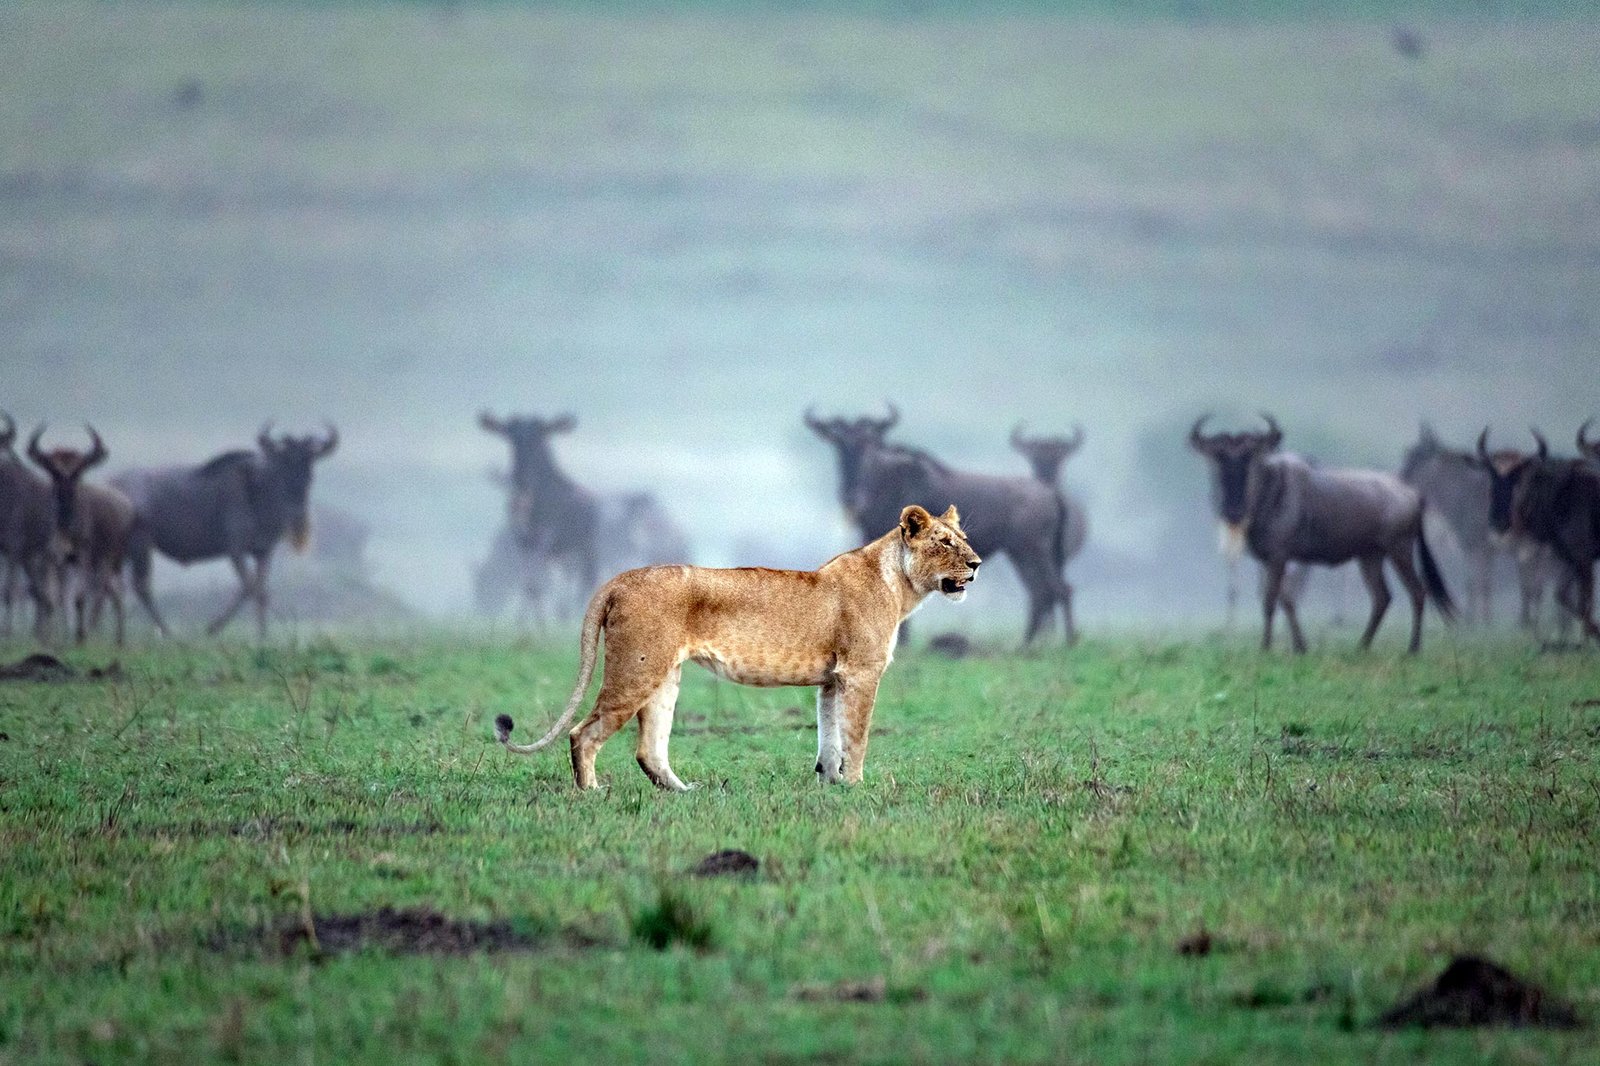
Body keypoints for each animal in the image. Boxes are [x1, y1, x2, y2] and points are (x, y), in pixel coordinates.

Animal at [493, 504, 981, 789]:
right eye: (943, 542)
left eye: (964, 540)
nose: (977, 564)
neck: (899, 585)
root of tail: (619, 578)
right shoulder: (861, 672)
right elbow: (856, 735)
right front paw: (858, 787)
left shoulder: (832, 680)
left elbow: (830, 736)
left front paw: (831, 784)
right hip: (636, 669)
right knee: (584, 733)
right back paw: (592, 793)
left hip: (663, 676)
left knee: (649, 749)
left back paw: (685, 794)